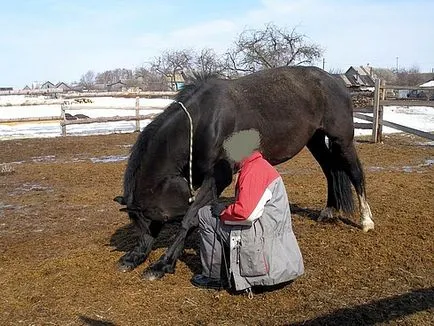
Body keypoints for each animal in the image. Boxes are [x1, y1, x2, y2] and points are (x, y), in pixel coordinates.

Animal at [113, 66, 374, 280]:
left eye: (150, 220)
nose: (140, 252)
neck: (204, 122)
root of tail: (334, 80)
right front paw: (136, 258)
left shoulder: (218, 177)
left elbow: (189, 218)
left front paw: (162, 264)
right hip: (315, 139)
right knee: (330, 170)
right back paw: (329, 209)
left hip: (342, 140)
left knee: (355, 173)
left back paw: (366, 220)